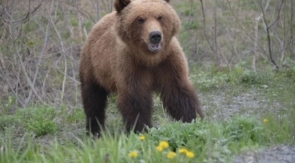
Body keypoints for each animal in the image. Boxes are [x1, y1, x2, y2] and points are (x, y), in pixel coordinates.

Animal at [78, 0, 204, 136]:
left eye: (160, 16)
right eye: (140, 19)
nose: (155, 35)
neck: (150, 59)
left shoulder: (168, 63)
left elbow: (178, 92)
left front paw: (192, 119)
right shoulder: (131, 66)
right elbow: (135, 100)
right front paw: (141, 130)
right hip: (93, 67)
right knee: (93, 99)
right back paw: (94, 131)